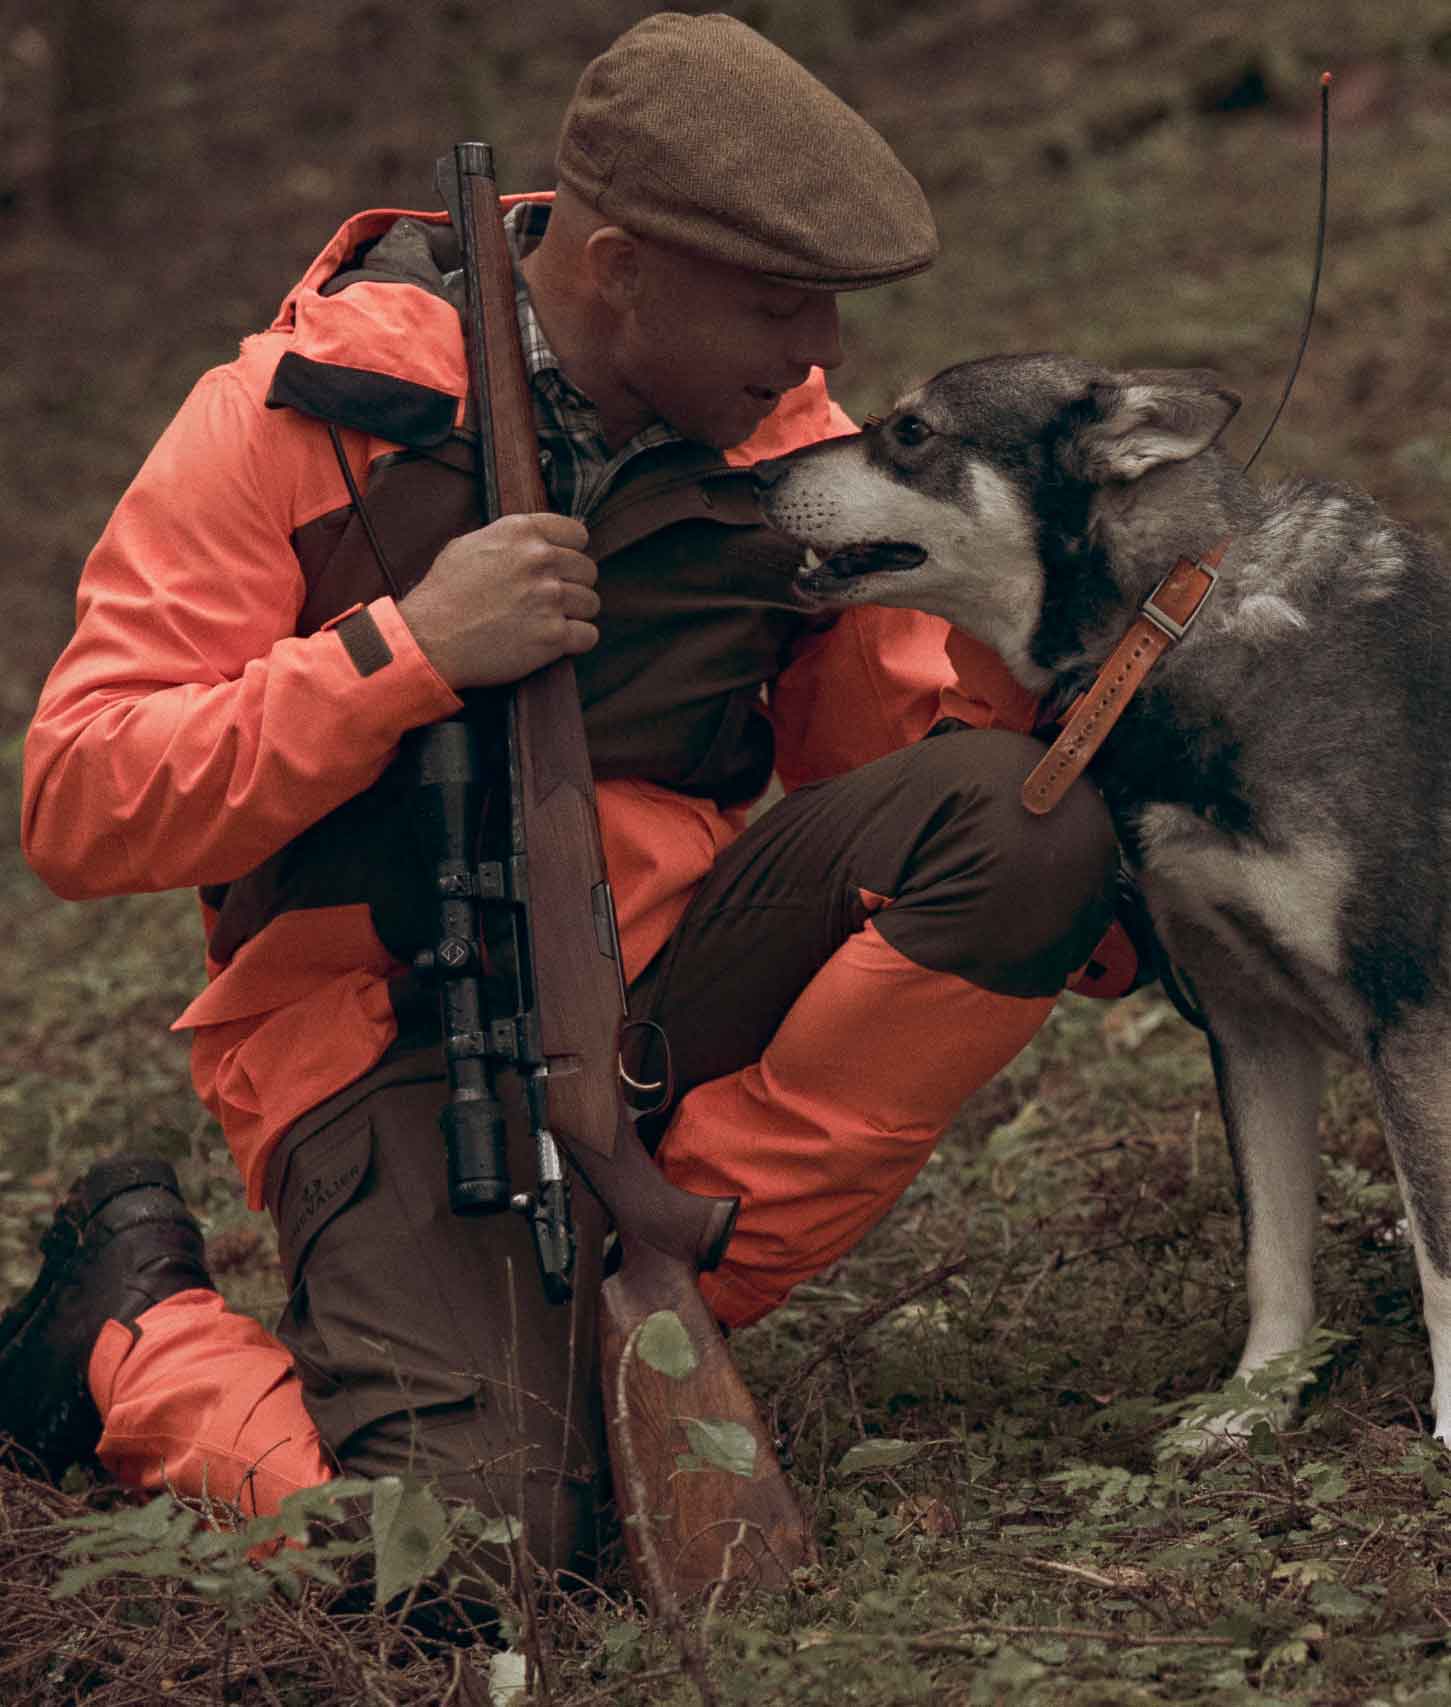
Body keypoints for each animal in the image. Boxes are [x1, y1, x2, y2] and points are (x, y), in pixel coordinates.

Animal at [751, 356, 1447, 1440]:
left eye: (910, 431)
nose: (750, 478)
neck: (1169, 627)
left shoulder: (1406, 1012)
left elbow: (1438, 1262)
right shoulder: (1245, 1025)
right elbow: (1271, 1250)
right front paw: (1253, 1402)